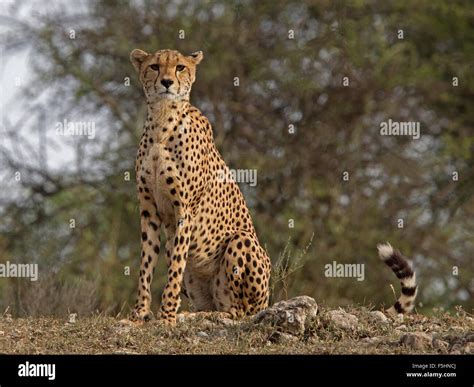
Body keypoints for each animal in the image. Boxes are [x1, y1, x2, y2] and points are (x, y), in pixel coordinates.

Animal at [128, 48, 272, 326]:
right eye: (154, 66)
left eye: (180, 67)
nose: (166, 82)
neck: (162, 119)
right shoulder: (149, 211)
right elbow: (146, 265)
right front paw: (139, 312)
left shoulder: (185, 211)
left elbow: (174, 269)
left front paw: (167, 316)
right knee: (215, 305)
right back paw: (193, 313)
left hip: (242, 241)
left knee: (237, 312)